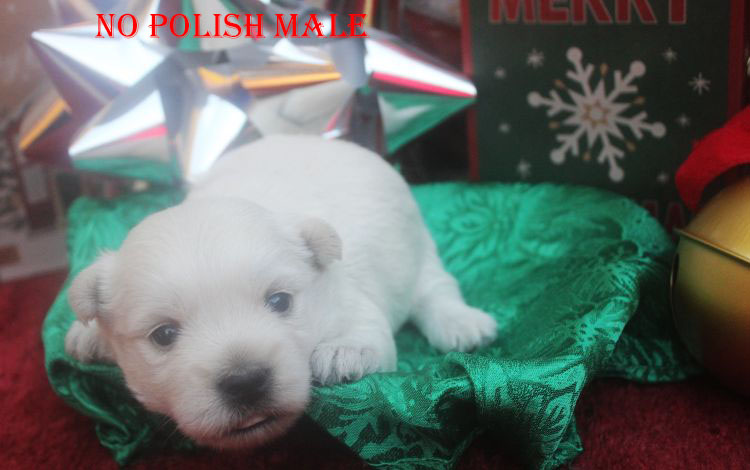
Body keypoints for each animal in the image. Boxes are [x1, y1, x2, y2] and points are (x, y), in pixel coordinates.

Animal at [65, 135, 497, 449]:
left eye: (280, 301)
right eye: (164, 335)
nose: (245, 381)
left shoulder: (347, 297)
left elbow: (369, 330)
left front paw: (343, 352)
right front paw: (88, 334)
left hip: (417, 247)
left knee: (435, 289)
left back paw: (462, 324)